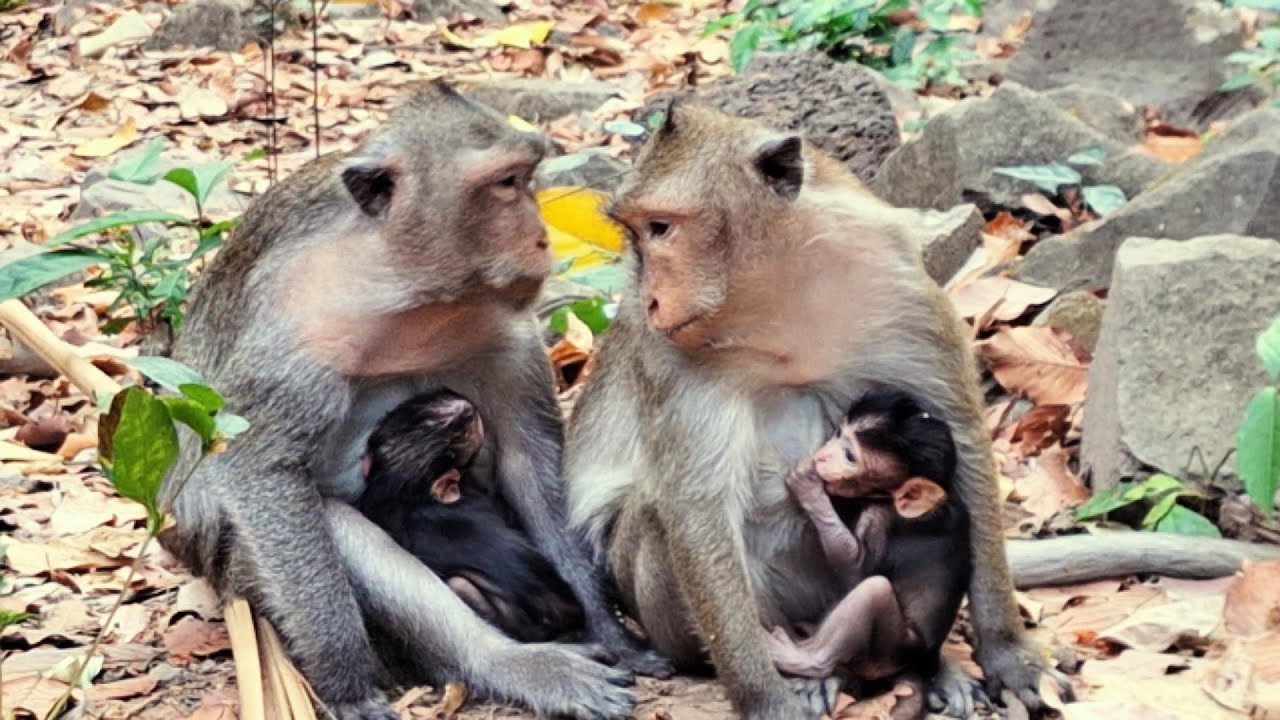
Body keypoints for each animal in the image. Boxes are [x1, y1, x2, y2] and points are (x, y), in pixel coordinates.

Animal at [765, 389, 970, 720]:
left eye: (850, 456)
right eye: (838, 433)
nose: (822, 456)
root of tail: (920, 665)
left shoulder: (878, 520)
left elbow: (854, 569)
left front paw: (809, 488)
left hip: (885, 655)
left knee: (874, 590)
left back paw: (805, 658)